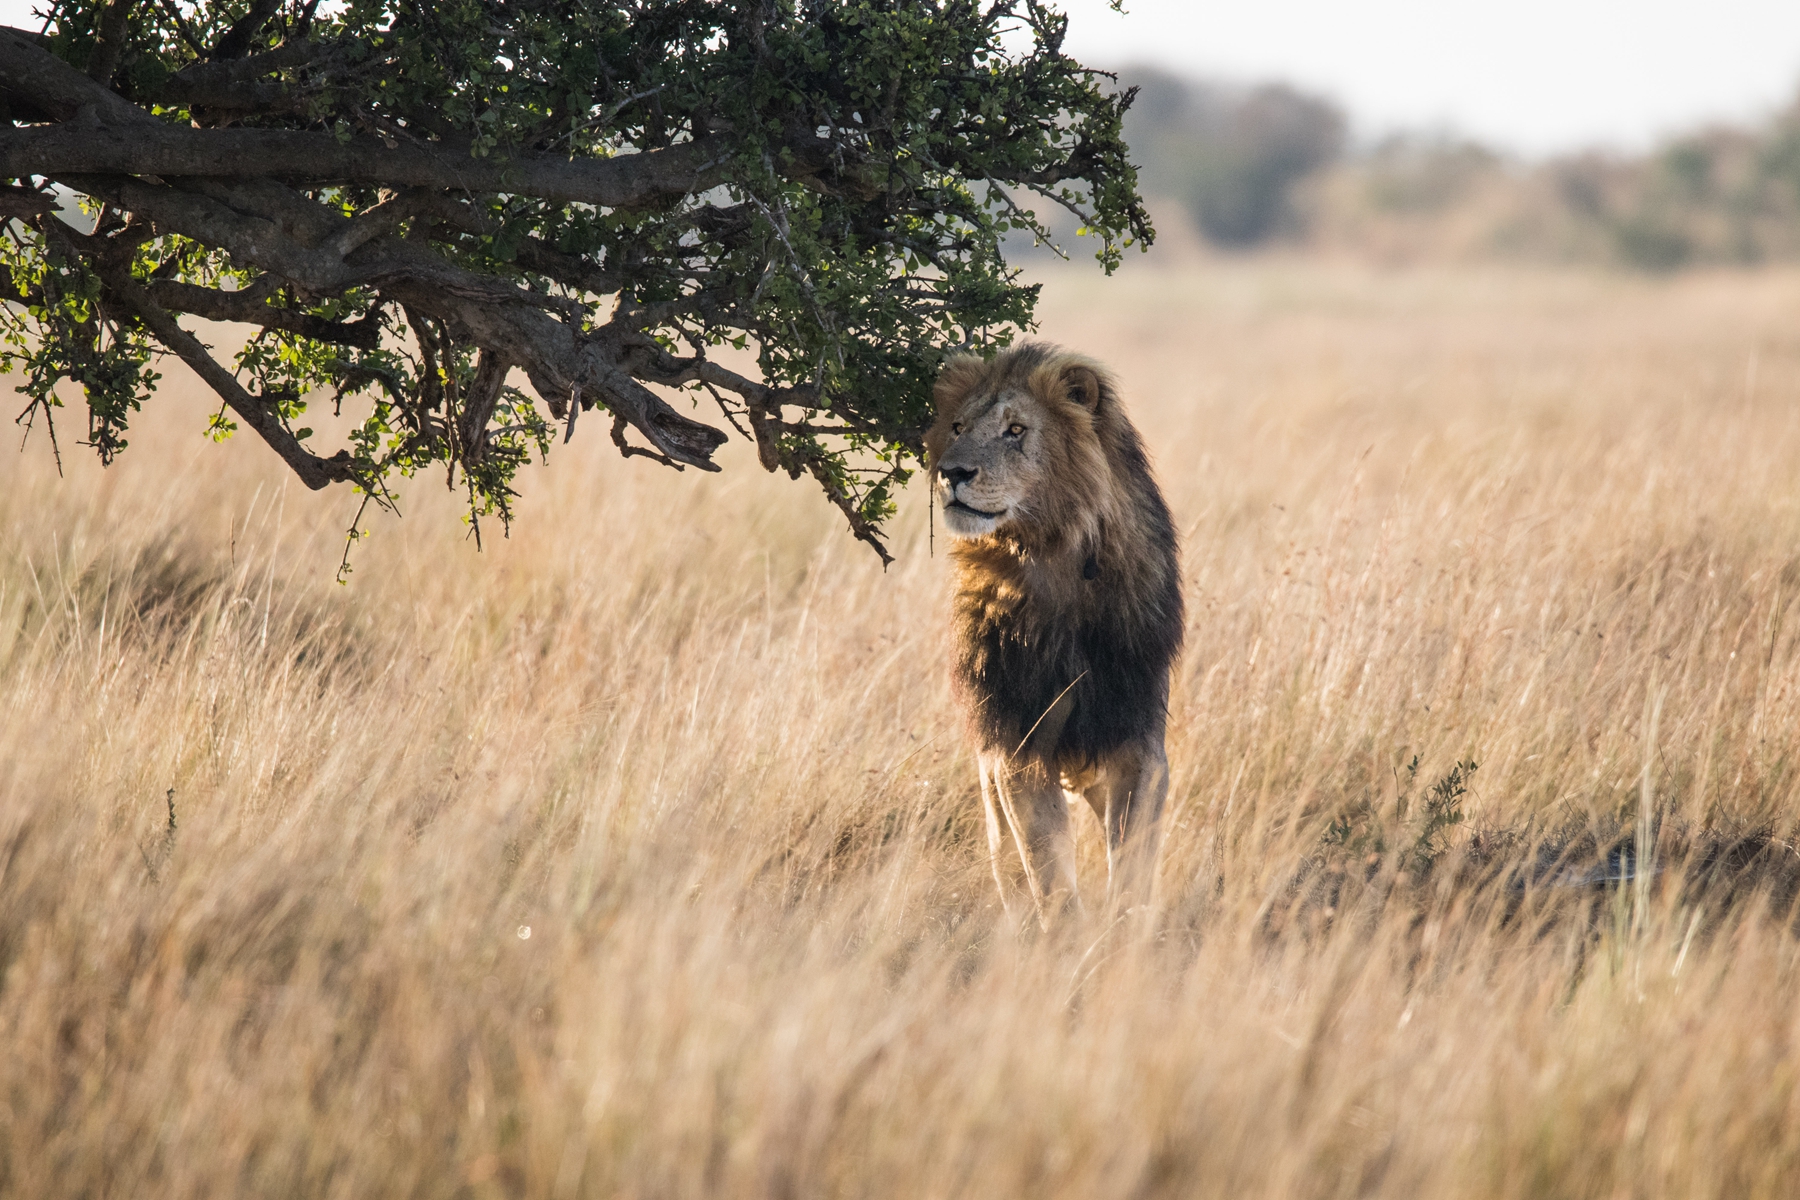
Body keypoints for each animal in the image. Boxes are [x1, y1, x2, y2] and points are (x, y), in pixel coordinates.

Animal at [928, 341, 1180, 928]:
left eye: (1016, 430)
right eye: (956, 427)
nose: (951, 473)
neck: (1051, 553)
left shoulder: (1136, 735)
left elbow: (1132, 858)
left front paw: (1126, 931)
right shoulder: (1014, 745)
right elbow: (1046, 870)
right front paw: (1068, 938)